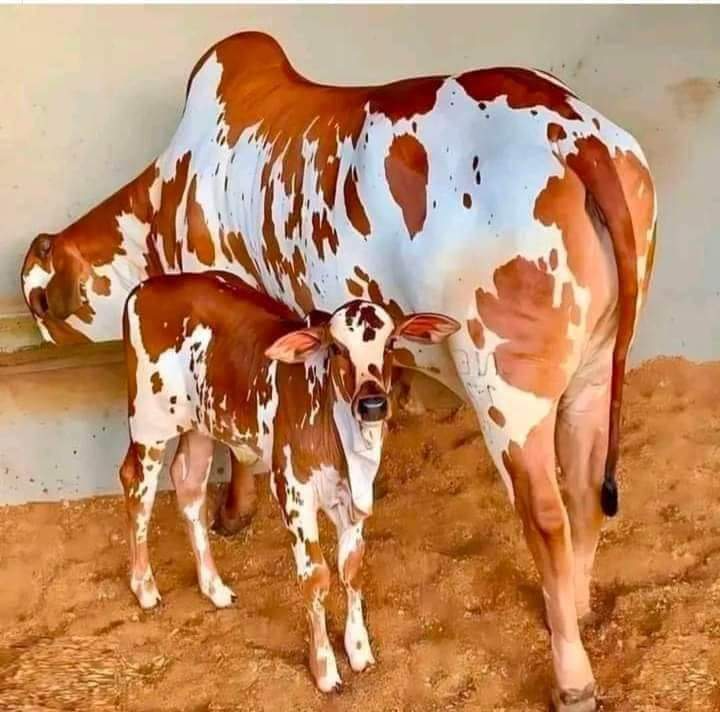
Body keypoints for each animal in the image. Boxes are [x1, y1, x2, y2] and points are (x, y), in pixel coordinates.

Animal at [120, 269, 459, 691]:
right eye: (336, 349)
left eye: (392, 342)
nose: (372, 404)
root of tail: (149, 286)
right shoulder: (293, 491)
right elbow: (316, 576)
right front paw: (324, 667)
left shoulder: (354, 497)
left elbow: (352, 568)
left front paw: (358, 650)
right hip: (149, 426)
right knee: (137, 489)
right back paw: (145, 587)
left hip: (201, 425)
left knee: (189, 487)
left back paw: (214, 588)